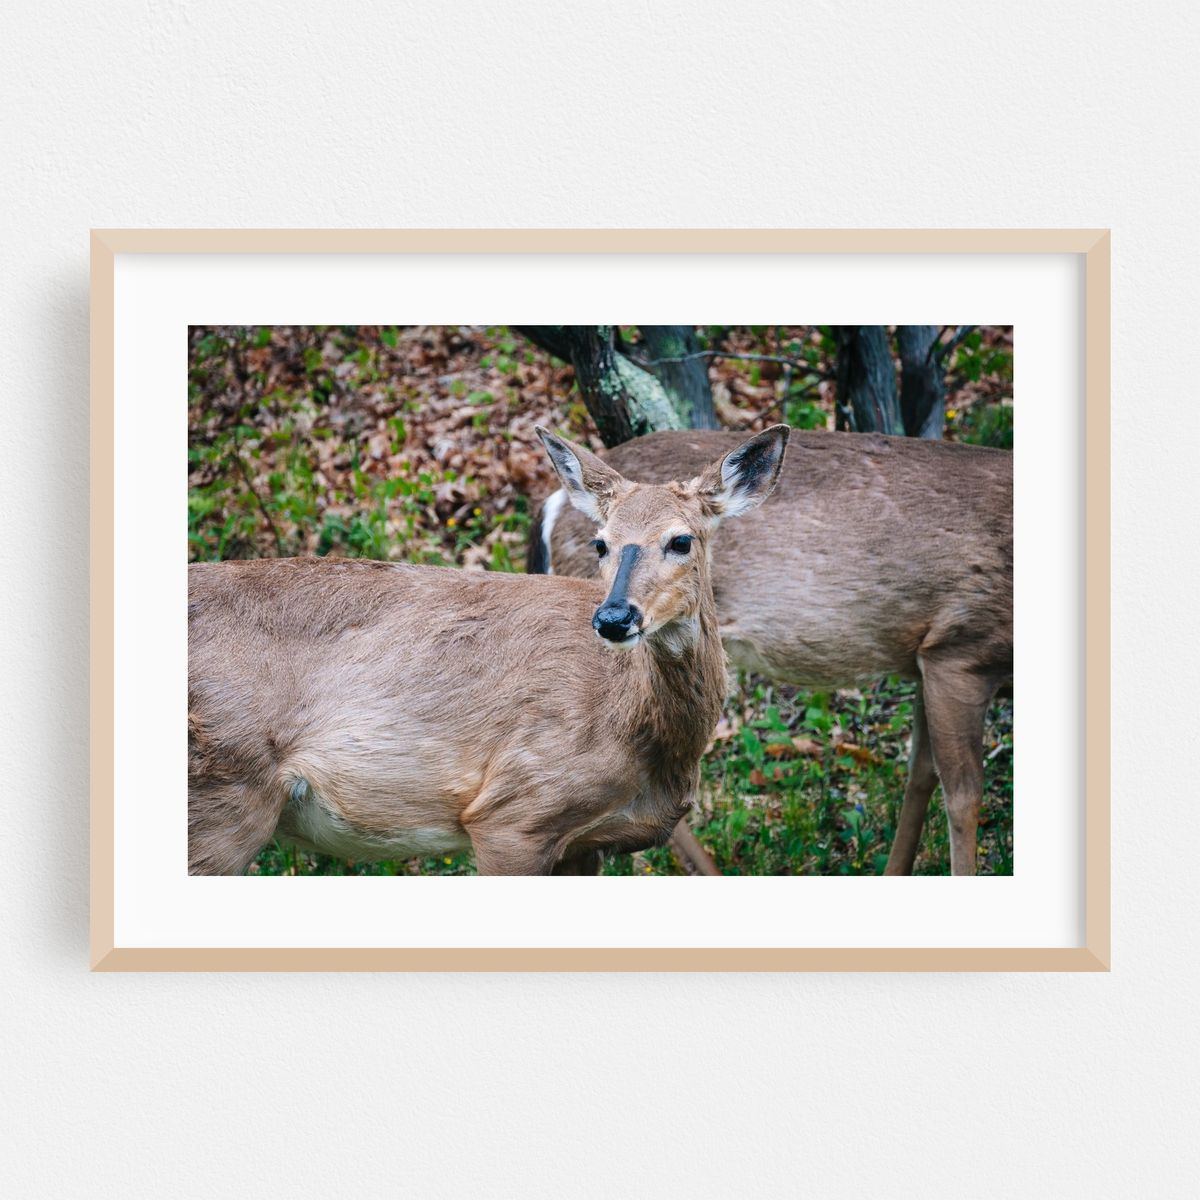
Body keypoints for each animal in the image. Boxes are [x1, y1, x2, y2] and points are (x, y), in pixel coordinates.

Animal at [187, 424, 790, 875]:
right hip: (221, 793)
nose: (614, 617)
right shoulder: (513, 813)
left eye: (681, 540)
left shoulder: (585, 844)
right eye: (601, 543)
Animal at [529, 428, 1013, 876]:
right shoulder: (960, 649)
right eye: (601, 543)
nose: (613, 617)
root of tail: (552, 504)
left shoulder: (924, 659)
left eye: (681, 541)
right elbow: (964, 797)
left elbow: (920, 774)